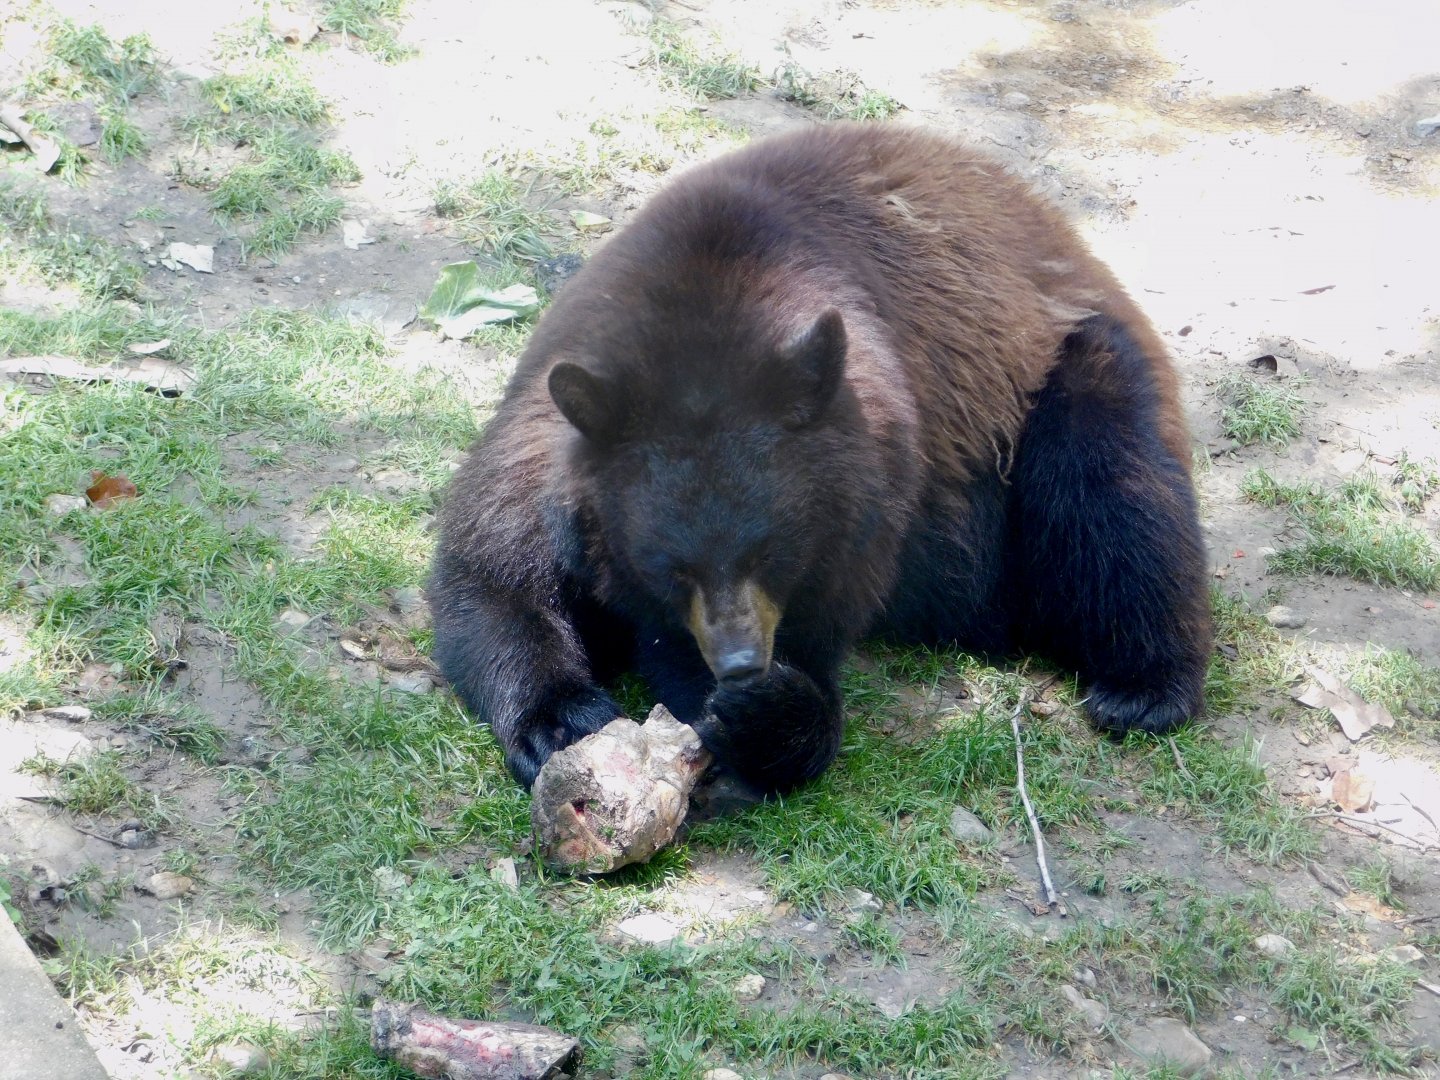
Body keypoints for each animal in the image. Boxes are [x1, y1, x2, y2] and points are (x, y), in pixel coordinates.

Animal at [429, 122, 1212, 794]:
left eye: (767, 550)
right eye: (674, 567)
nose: (740, 663)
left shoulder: (869, 489)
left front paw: (759, 715)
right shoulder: (548, 438)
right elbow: (492, 574)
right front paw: (561, 717)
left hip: (1049, 389)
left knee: (1117, 499)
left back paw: (1143, 688)